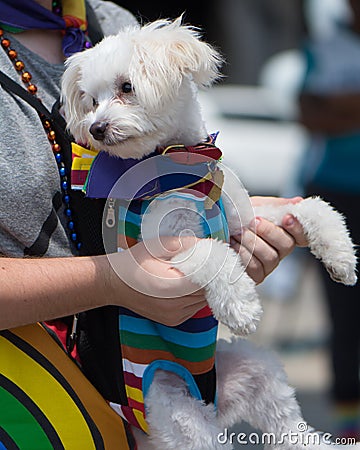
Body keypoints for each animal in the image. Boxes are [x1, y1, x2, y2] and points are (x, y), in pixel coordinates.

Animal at [61, 17, 358, 450]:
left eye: (126, 87)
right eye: (90, 100)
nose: (96, 128)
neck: (181, 164)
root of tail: (211, 401)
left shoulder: (244, 218)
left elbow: (307, 206)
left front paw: (340, 254)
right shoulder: (165, 247)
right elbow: (211, 254)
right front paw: (241, 305)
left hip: (257, 371)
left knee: (288, 427)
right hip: (179, 417)